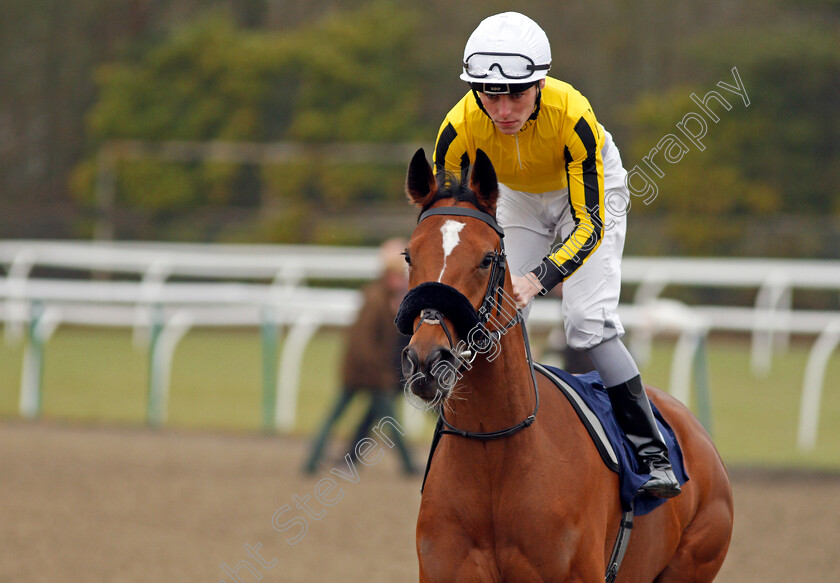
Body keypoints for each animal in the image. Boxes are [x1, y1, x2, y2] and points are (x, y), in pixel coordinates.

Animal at [398, 151, 732, 583]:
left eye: (486, 259)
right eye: (409, 255)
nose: (426, 359)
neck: (494, 449)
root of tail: (695, 430)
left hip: (693, 562)